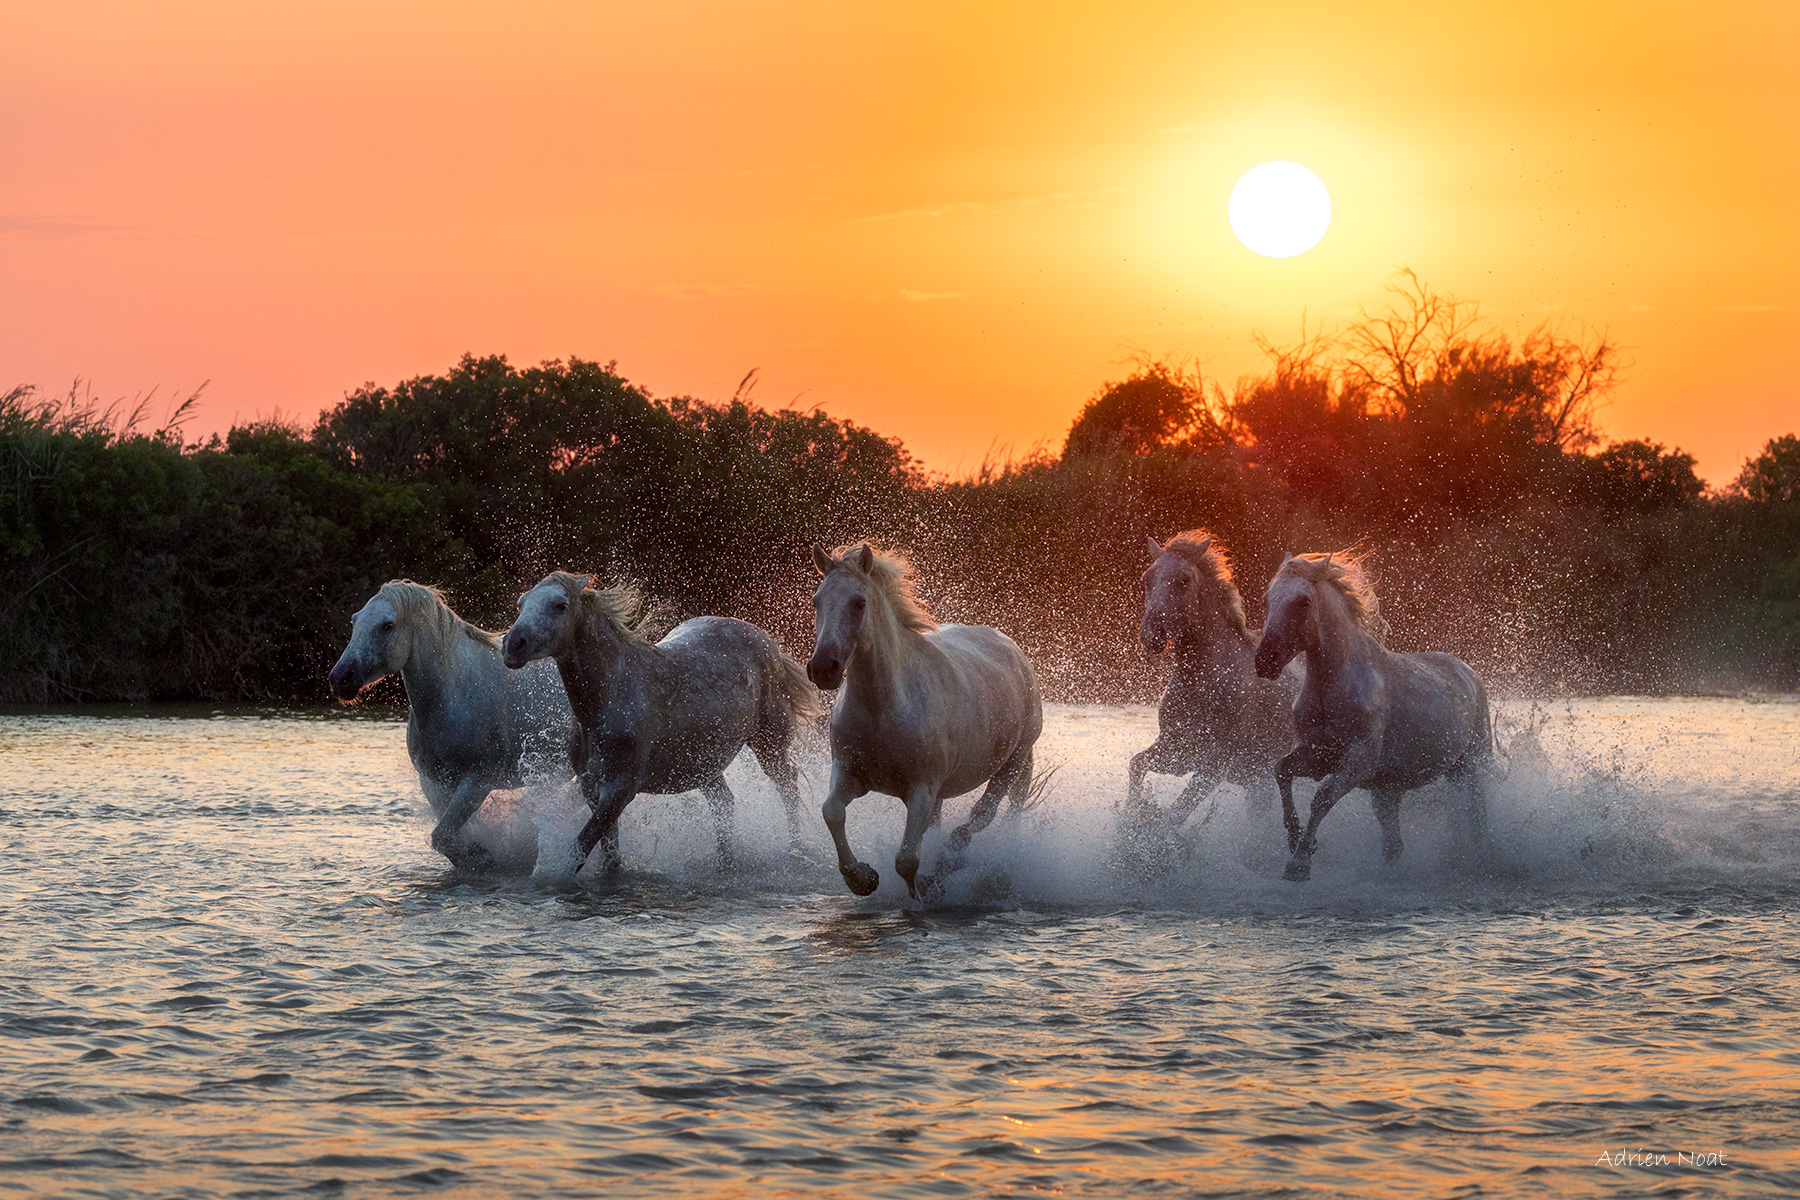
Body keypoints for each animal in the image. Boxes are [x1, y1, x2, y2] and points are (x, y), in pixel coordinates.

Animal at [328, 580, 574, 871]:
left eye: (387, 625)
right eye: (355, 620)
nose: (340, 678)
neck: (453, 696)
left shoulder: (478, 780)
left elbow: (442, 836)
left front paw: (482, 857)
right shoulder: (435, 782)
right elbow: (446, 836)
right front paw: (477, 853)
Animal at [501, 571, 818, 875]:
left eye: (560, 605)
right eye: (521, 603)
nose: (513, 645)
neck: (606, 701)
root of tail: (765, 640)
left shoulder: (620, 790)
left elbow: (576, 852)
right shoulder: (591, 787)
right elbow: (609, 856)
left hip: (768, 743)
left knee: (787, 785)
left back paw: (797, 850)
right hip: (704, 763)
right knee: (725, 803)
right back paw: (726, 863)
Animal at [808, 542, 1043, 899]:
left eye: (859, 602)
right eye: (817, 601)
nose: (823, 668)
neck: (883, 710)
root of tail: (1011, 647)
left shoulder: (921, 790)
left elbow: (906, 860)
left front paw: (925, 891)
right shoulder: (851, 774)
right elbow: (831, 812)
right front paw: (862, 878)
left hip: (1015, 761)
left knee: (989, 816)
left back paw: (961, 864)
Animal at [1127, 531, 1302, 834]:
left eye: (1185, 579)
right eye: (1147, 578)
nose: (1152, 635)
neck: (1203, 682)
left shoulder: (1215, 765)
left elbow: (1174, 817)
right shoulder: (1176, 750)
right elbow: (1136, 765)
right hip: (1260, 785)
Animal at [1254, 551, 1492, 882]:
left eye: (1303, 601)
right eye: (1267, 600)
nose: (1265, 660)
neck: (1332, 687)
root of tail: (1467, 672)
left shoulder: (1359, 760)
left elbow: (1322, 798)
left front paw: (1299, 863)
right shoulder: (1318, 754)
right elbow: (1282, 770)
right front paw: (1295, 839)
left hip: (1470, 767)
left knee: (1476, 818)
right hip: (1389, 791)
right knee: (1394, 845)